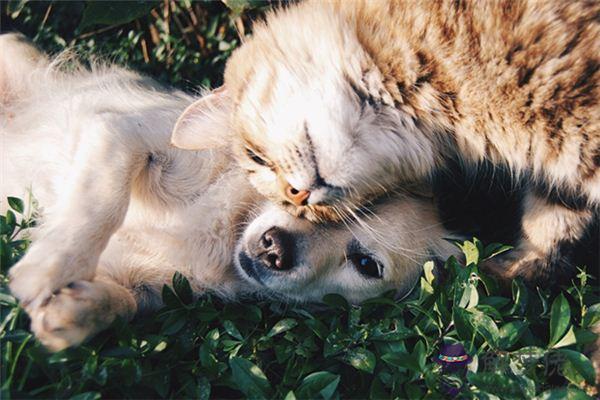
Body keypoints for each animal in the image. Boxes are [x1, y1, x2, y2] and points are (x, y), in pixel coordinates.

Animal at [171, 0, 596, 286]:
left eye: (256, 157)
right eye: (299, 209)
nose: (297, 196)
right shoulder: (563, 170)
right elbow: (552, 222)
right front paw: (517, 271)